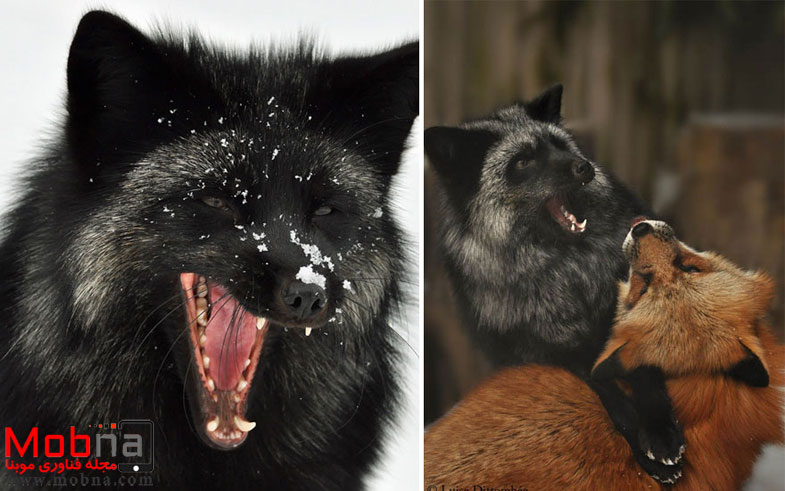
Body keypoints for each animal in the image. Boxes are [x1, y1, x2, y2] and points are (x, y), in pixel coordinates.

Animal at [424, 219, 784, 490]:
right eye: (644, 285)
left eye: (688, 267)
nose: (641, 228)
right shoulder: (572, 349)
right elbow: (629, 383)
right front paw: (658, 442)